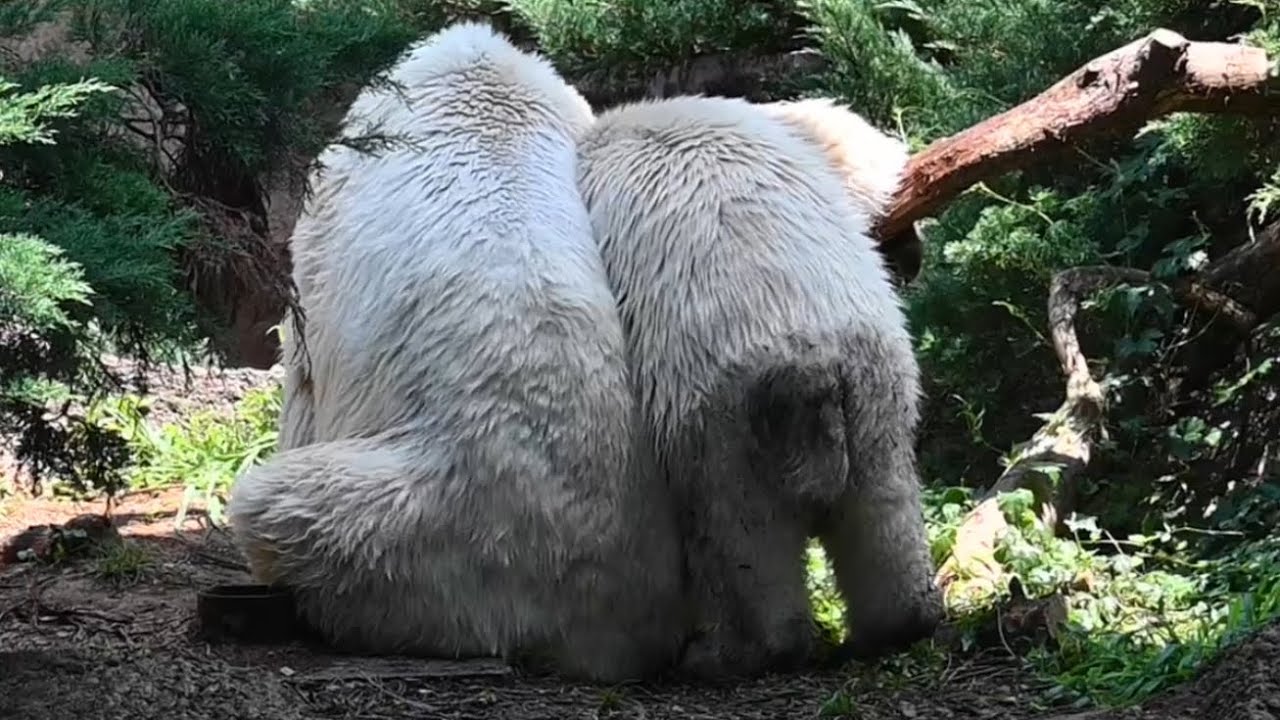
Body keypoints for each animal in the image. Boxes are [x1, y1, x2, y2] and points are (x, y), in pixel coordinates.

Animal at [575, 94, 944, 680]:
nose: (910, 259)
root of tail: (810, 366)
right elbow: (846, 144)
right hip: (876, 383)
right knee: (882, 503)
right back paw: (901, 620)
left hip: (720, 413)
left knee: (738, 533)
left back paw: (725, 654)